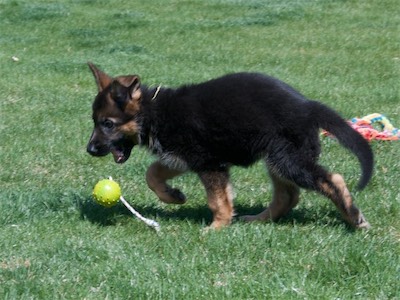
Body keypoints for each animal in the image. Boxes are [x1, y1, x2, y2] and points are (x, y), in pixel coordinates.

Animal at [86, 62, 374, 229]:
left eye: (107, 124)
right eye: (95, 122)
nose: (89, 150)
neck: (154, 112)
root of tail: (308, 106)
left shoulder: (209, 164)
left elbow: (217, 200)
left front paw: (216, 227)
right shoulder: (182, 157)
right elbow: (152, 174)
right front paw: (173, 196)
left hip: (288, 159)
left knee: (331, 179)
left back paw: (354, 217)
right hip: (276, 157)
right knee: (287, 196)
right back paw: (258, 220)